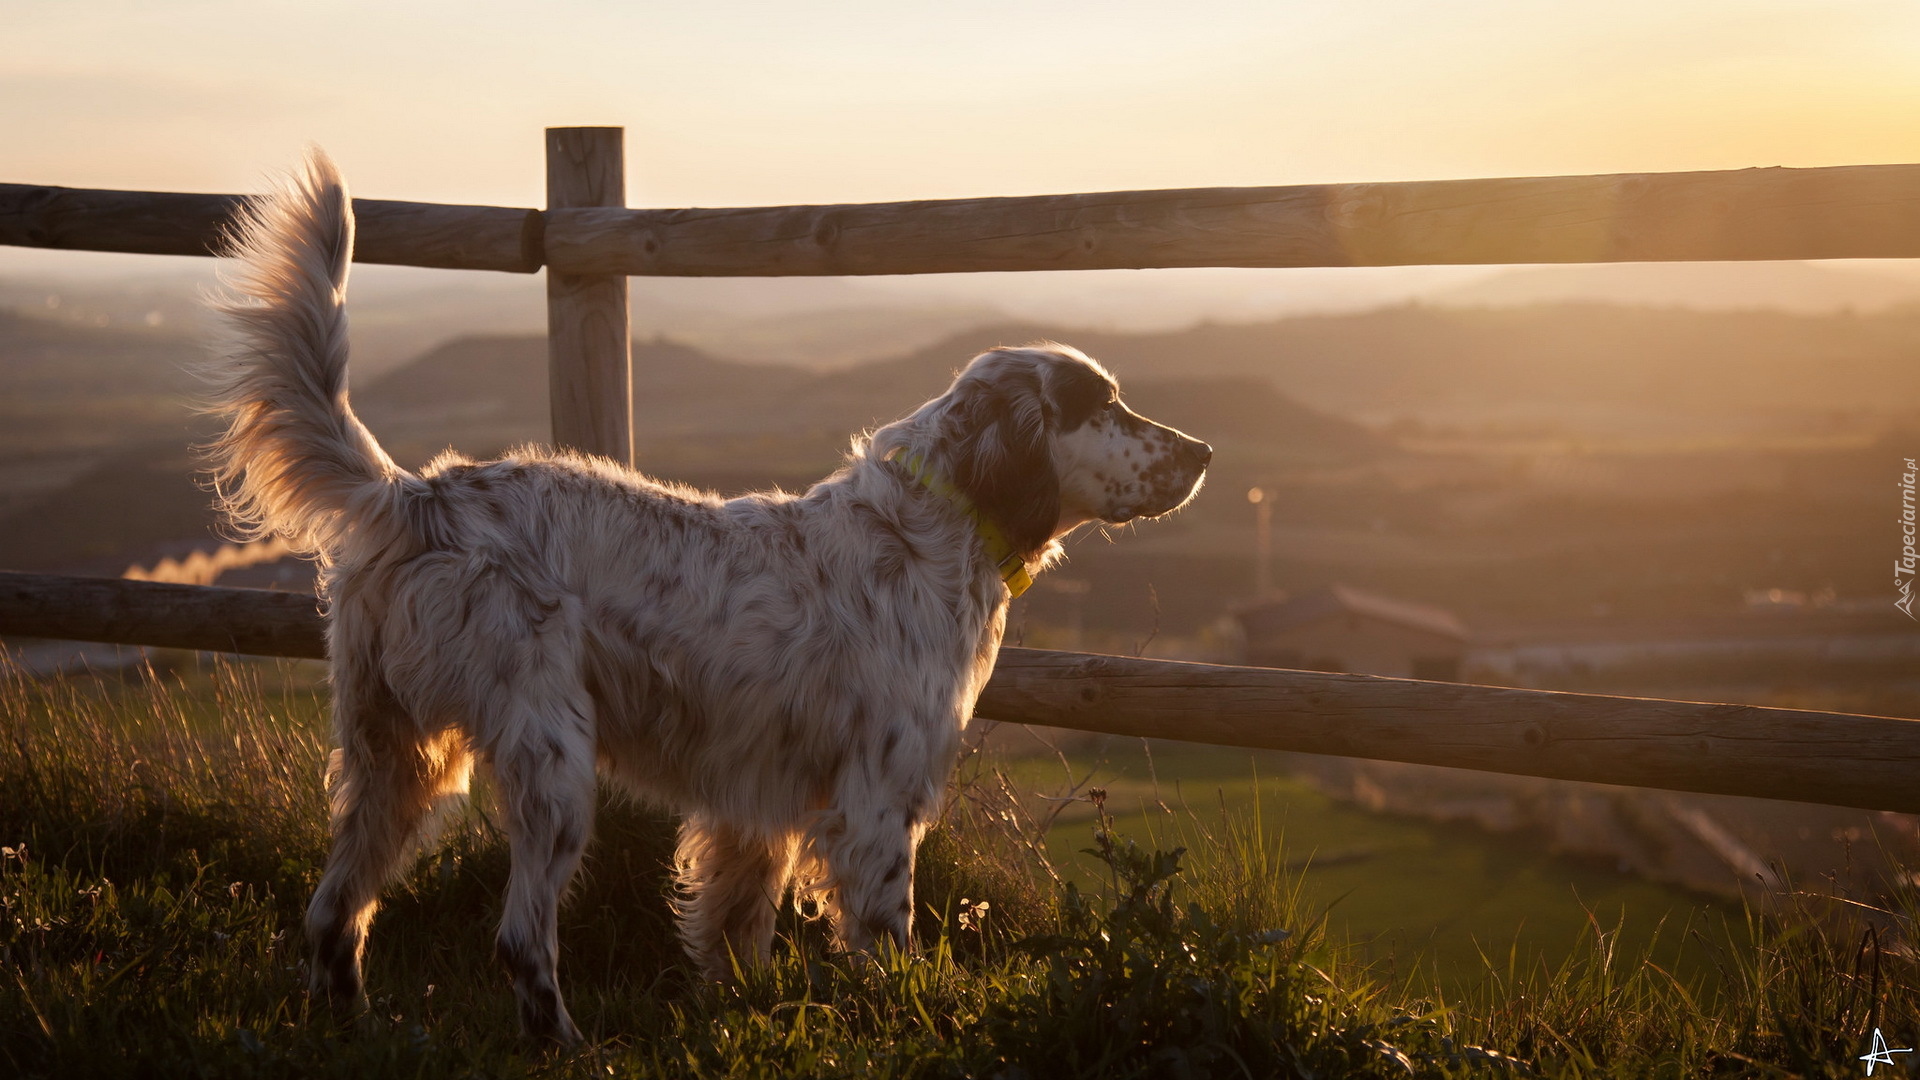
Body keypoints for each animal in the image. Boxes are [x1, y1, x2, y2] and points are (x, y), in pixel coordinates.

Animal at [198, 147, 1213, 1037]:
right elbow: (890, 944)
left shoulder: (751, 809)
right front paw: (912, 1017)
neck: (933, 525)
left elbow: (736, 934)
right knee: (518, 938)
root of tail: (416, 496)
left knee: (332, 911)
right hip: (551, 761)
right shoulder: (878, 801)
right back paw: (564, 1041)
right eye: (1102, 404)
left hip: (392, 758)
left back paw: (357, 1026)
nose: (1204, 451)